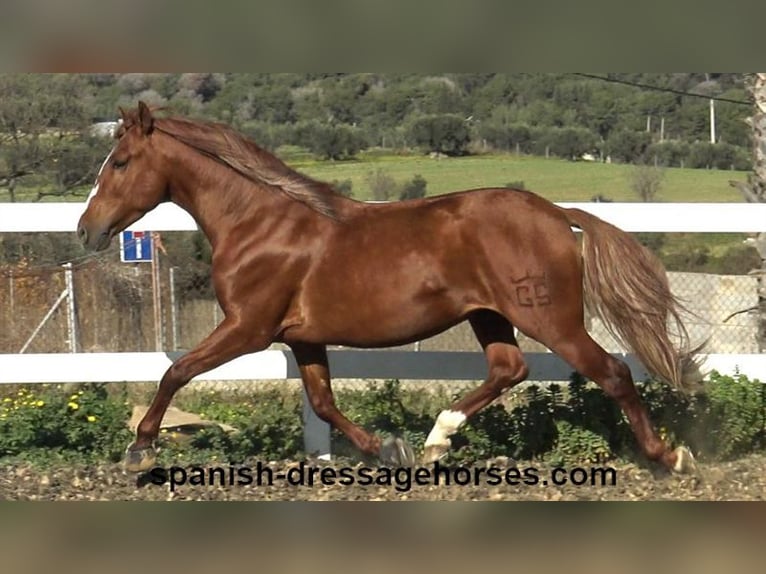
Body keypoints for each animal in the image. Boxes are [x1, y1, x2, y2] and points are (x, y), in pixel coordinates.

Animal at [78, 102, 704, 472]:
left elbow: (176, 371)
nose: (87, 230)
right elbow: (324, 403)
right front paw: (389, 448)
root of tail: (555, 213)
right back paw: (436, 438)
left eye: (121, 161)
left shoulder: (248, 328)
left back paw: (670, 456)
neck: (259, 222)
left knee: (612, 372)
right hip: (489, 315)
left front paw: (139, 450)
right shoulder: (302, 336)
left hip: (550, 318)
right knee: (509, 369)